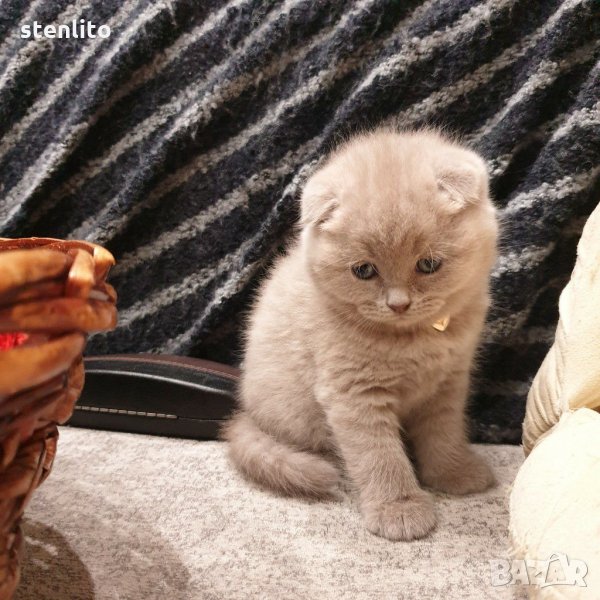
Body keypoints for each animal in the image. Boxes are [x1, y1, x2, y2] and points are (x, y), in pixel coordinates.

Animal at [223, 128, 499, 541]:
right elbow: (380, 456)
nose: (398, 304)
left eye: (428, 264)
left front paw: (454, 473)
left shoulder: (449, 382)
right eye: (364, 271)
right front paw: (399, 509)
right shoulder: (354, 395)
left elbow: (444, 432)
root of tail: (247, 413)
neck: (414, 341)